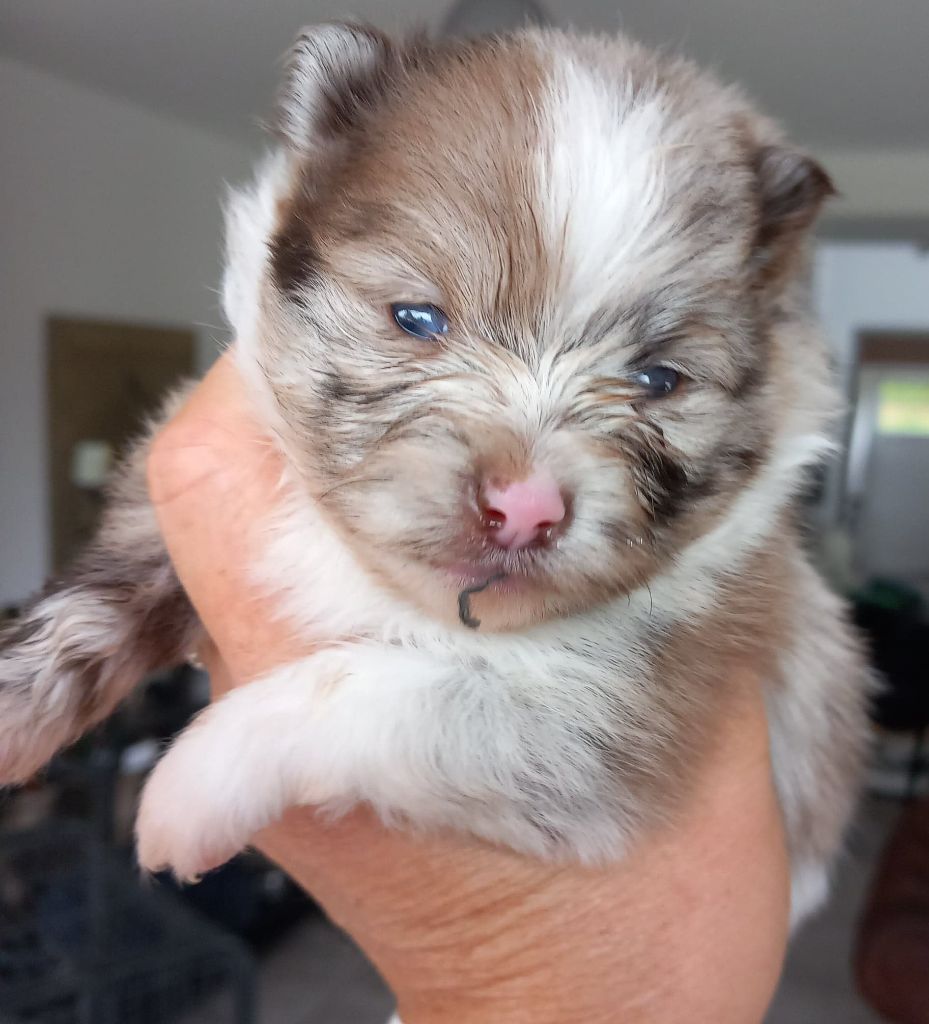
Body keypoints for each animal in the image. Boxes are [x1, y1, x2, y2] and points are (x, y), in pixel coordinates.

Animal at [1, 24, 872, 925]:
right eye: (417, 319)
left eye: (658, 379)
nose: (524, 510)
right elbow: (98, 598)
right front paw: (18, 699)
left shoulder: (610, 715)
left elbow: (387, 690)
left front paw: (195, 782)